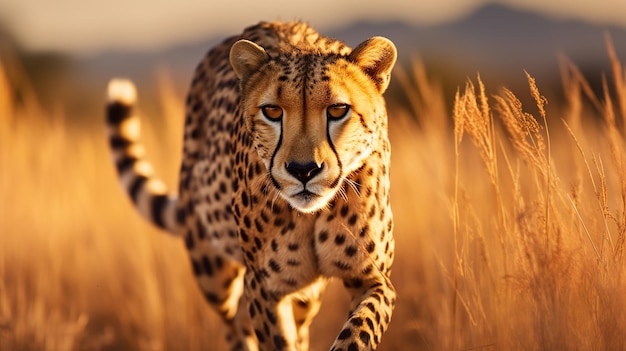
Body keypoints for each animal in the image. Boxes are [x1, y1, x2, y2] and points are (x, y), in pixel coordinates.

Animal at [105, 21, 392, 351]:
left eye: (337, 110)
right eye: (272, 111)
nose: (303, 170)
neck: (312, 214)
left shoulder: (373, 279)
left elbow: (360, 330)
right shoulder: (264, 286)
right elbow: (276, 339)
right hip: (212, 270)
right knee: (235, 322)